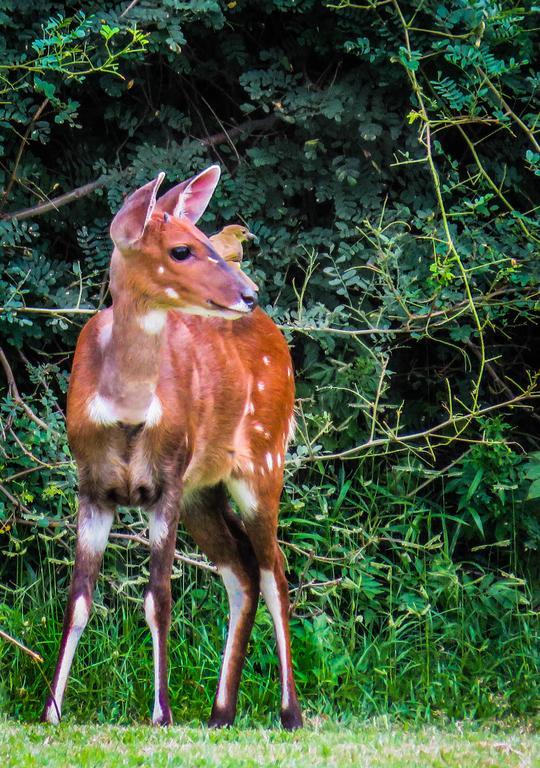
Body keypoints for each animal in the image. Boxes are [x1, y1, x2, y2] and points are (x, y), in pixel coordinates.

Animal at [41, 165, 304, 728]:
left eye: (206, 239)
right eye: (181, 249)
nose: (249, 293)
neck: (126, 413)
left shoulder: (166, 481)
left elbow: (158, 596)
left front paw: (160, 712)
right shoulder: (92, 487)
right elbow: (78, 598)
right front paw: (51, 711)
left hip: (263, 461)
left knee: (275, 570)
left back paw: (290, 713)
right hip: (203, 490)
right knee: (242, 571)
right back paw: (221, 712)